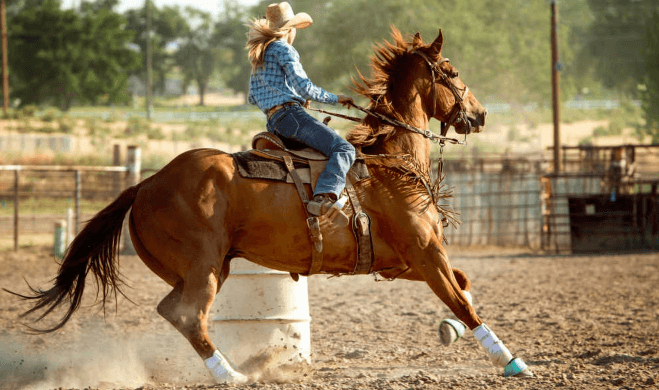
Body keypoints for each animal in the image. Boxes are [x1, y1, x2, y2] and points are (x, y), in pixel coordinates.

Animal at [5, 28, 532, 384]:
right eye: (454, 73)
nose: (480, 114)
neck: (391, 163)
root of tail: (148, 183)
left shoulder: (401, 262)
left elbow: (463, 288)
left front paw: (449, 331)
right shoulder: (425, 254)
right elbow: (462, 300)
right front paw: (512, 360)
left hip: (203, 268)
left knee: (173, 311)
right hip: (203, 266)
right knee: (189, 316)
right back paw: (232, 375)